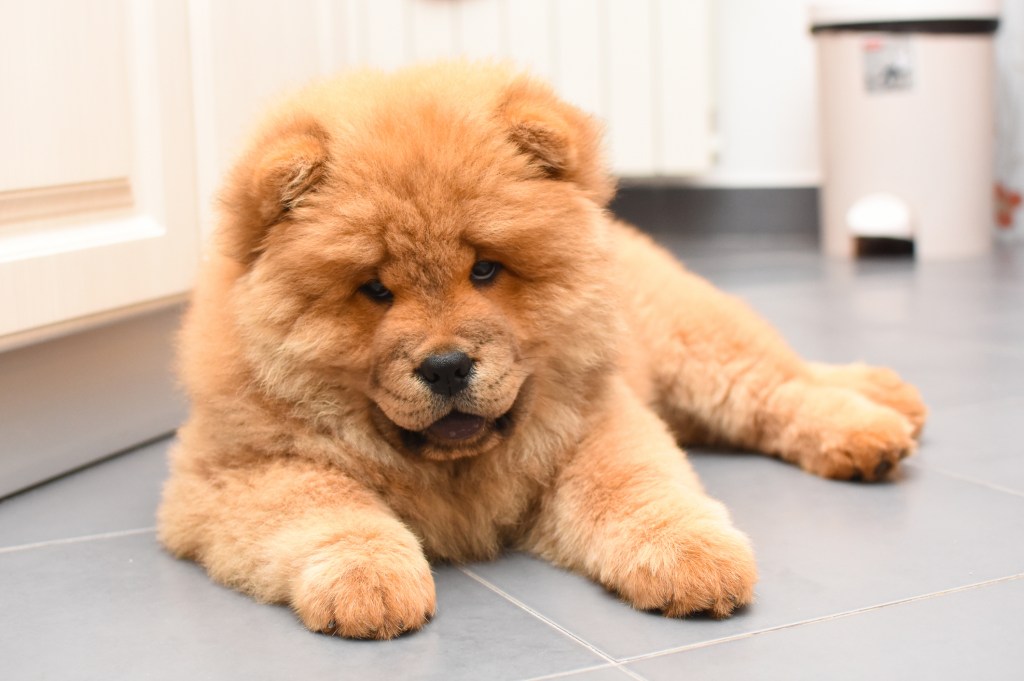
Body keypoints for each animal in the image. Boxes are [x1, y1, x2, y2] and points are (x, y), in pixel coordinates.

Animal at [157, 59, 929, 639]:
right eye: (375, 289)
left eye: (485, 270)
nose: (446, 366)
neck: (454, 471)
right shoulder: (232, 472)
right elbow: (326, 504)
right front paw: (370, 582)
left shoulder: (598, 422)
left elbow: (636, 490)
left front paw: (694, 558)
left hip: (700, 346)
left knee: (781, 383)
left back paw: (873, 422)